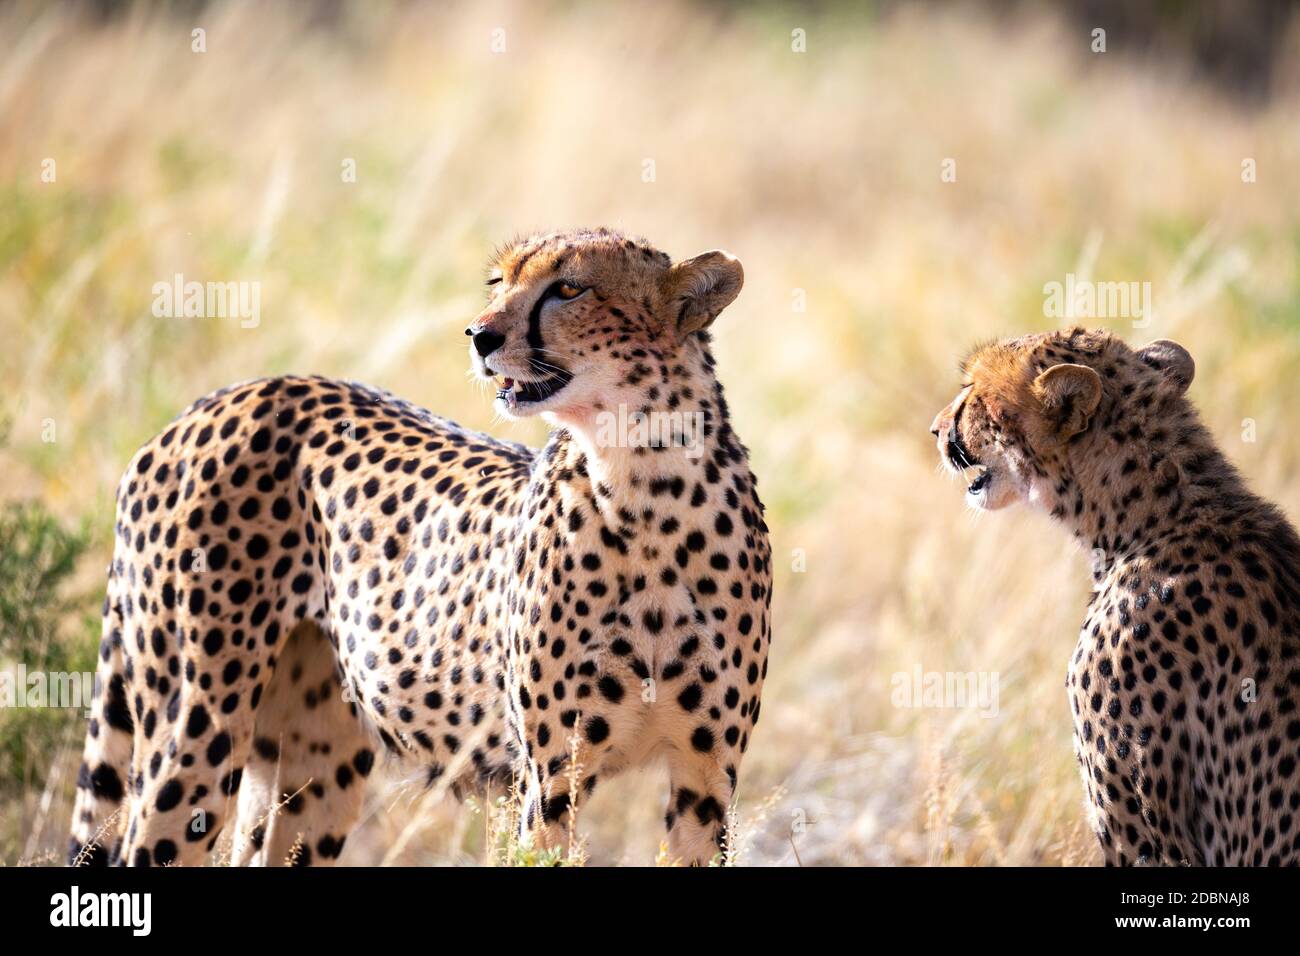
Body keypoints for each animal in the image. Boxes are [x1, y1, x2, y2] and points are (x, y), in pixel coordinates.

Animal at [68, 230, 769, 868]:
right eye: (498, 283)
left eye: (569, 288)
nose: (479, 336)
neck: (646, 487)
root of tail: (215, 401)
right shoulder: (551, 776)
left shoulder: (706, 775)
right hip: (196, 727)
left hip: (314, 757)